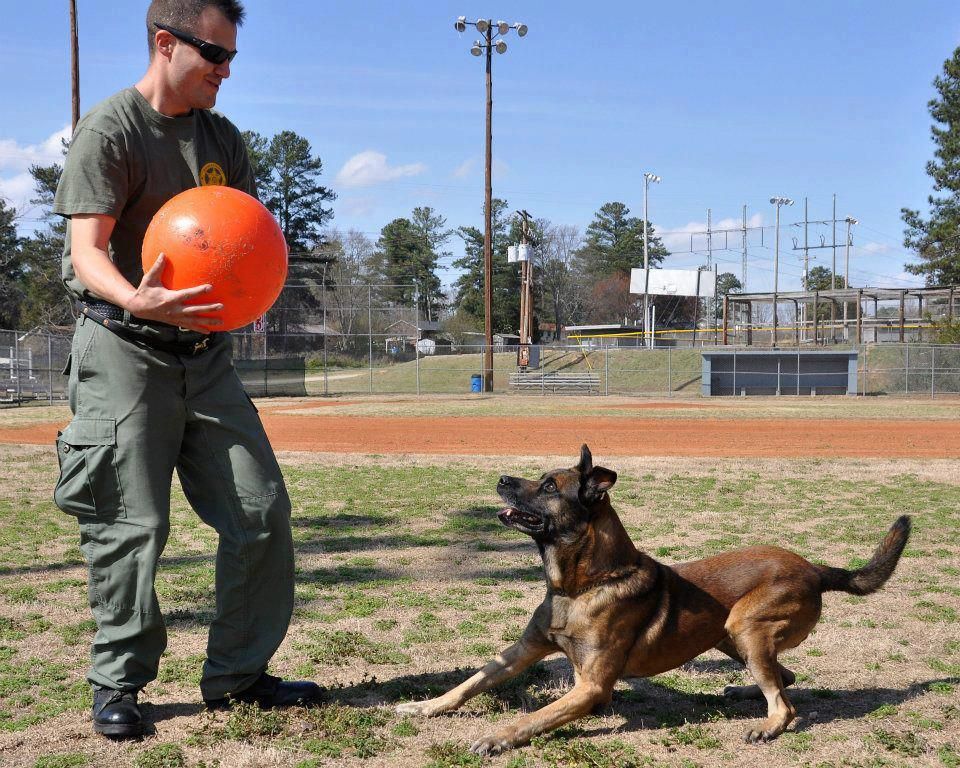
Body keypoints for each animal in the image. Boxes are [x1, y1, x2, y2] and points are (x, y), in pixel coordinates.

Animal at [394, 444, 912, 756]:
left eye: (548, 486)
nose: (502, 478)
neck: (582, 584)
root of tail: (816, 568)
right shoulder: (522, 651)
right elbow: (469, 683)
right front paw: (424, 707)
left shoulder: (592, 687)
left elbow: (534, 717)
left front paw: (496, 737)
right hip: (728, 635)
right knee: (785, 677)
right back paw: (745, 692)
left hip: (745, 625)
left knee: (785, 703)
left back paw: (766, 724)